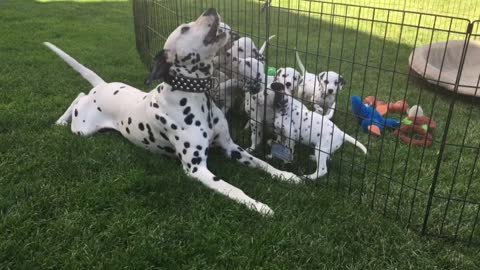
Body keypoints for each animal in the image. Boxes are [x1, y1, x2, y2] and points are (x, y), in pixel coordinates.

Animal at [45, 7, 300, 216]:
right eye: (185, 28)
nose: (211, 9)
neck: (196, 98)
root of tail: (101, 86)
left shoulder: (231, 147)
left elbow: (261, 163)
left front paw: (286, 176)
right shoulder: (196, 168)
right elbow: (233, 189)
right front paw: (258, 205)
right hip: (82, 128)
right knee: (78, 98)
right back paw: (60, 122)